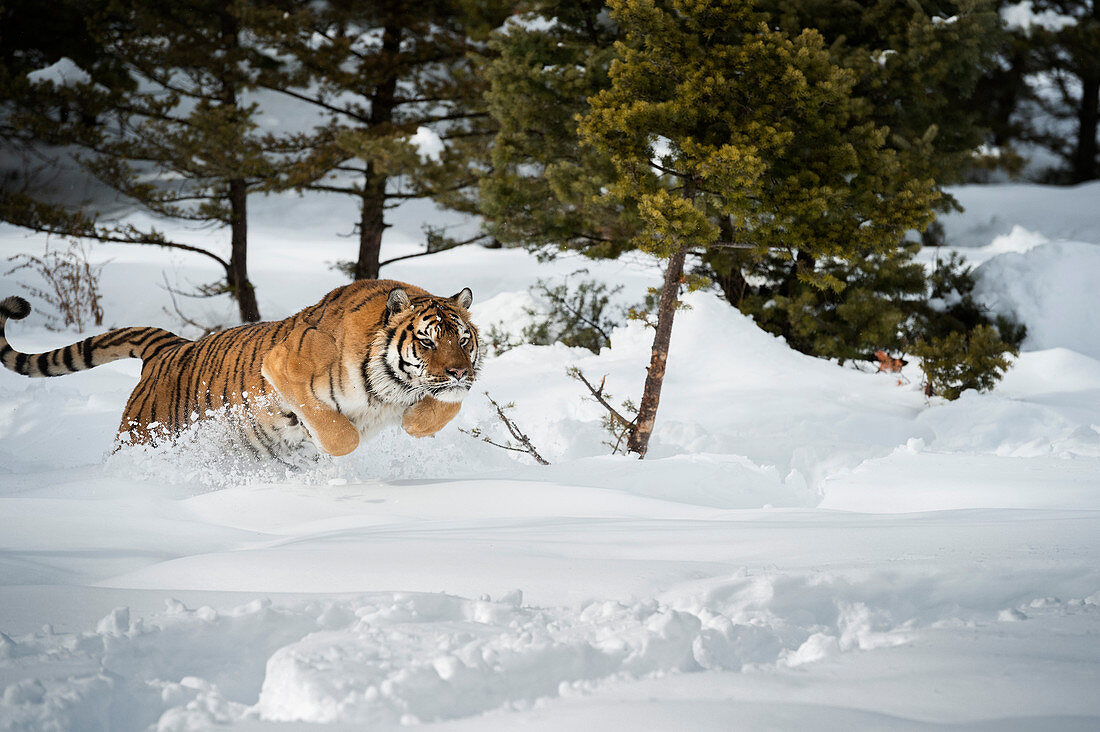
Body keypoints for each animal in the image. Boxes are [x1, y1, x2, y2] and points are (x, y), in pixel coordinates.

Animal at [0, 277, 481, 460]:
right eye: (427, 340)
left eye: (462, 339)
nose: (458, 372)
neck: (394, 389)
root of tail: (171, 346)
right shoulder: (283, 367)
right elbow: (338, 430)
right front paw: (338, 441)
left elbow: (445, 406)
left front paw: (416, 423)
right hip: (142, 440)